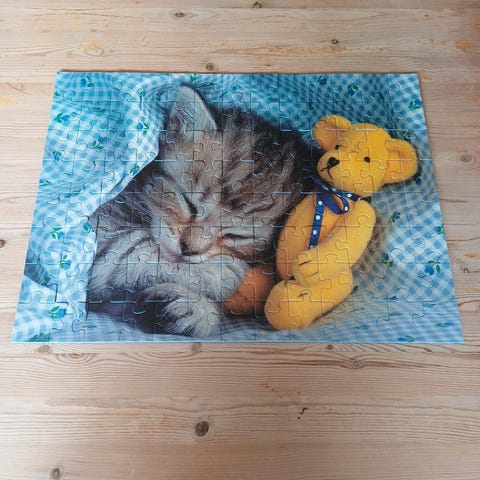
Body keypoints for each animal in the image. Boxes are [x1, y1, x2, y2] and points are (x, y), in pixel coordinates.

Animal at [86, 84, 317, 337]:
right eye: (189, 203)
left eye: (237, 236)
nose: (187, 249)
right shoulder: (106, 233)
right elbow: (137, 252)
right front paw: (224, 273)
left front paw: (191, 310)